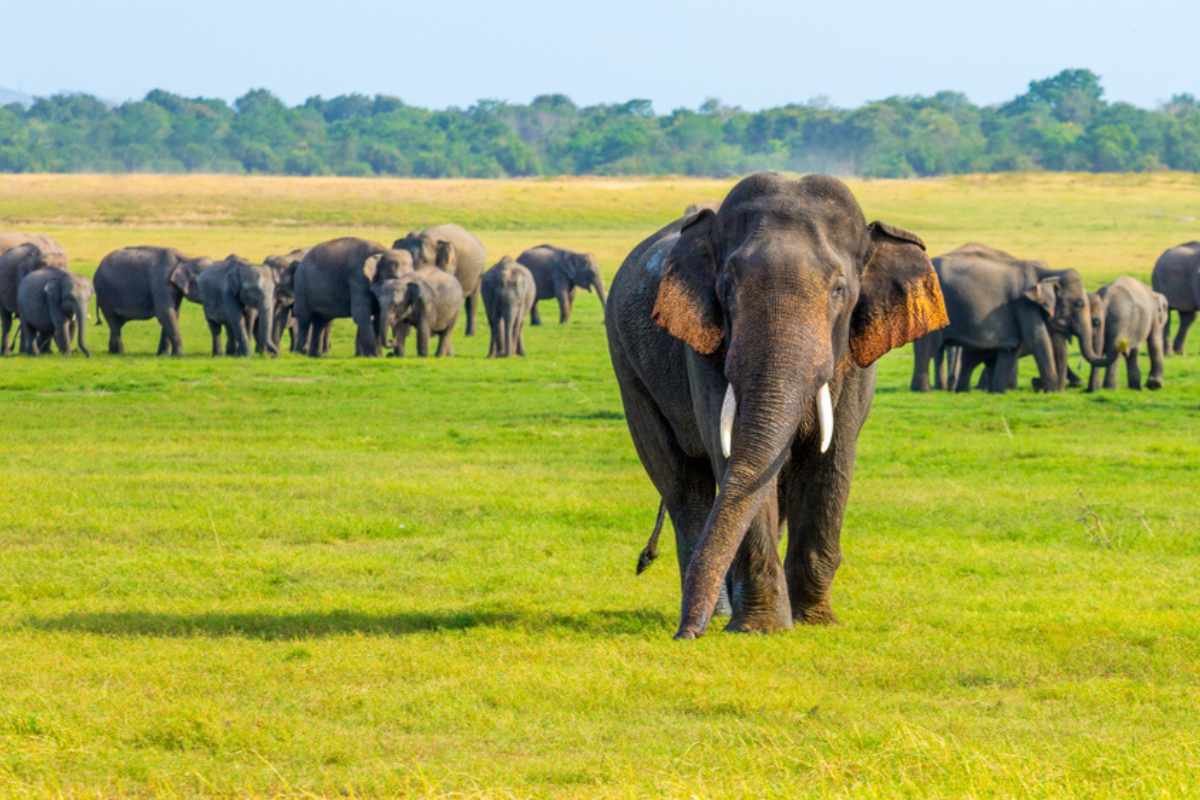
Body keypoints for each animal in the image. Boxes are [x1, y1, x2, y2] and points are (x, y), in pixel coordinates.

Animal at [609, 172, 945, 642]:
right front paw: (762, 628)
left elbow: (832, 459)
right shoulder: (705, 348)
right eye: (726, 288)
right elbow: (733, 456)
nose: (683, 636)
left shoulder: (854, 359)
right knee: (682, 484)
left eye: (839, 290)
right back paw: (717, 613)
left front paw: (814, 621)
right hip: (629, 371)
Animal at [907, 244, 1104, 393]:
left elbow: (1012, 347)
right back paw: (923, 391)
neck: (1047, 271)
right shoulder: (1024, 305)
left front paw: (999, 392)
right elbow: (1038, 339)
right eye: (1079, 303)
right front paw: (1052, 391)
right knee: (928, 348)